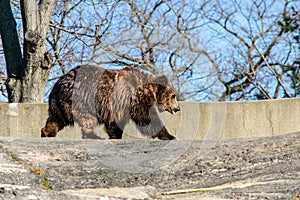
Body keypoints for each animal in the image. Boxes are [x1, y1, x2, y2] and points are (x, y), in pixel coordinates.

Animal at [40, 65, 179, 140]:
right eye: (173, 96)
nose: (178, 108)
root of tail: (60, 81)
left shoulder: (119, 106)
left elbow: (115, 124)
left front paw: (115, 135)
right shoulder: (134, 98)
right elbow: (147, 118)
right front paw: (170, 135)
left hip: (61, 101)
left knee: (57, 117)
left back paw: (47, 132)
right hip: (82, 98)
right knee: (87, 119)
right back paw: (94, 136)